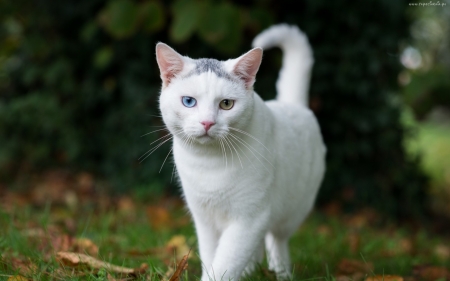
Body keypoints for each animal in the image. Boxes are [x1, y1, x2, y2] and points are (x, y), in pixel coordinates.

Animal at [156, 24, 326, 280]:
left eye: (226, 104)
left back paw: (281, 272)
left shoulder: (249, 219)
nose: (207, 122)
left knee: (277, 240)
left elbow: (225, 263)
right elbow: (211, 256)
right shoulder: (205, 220)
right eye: (188, 102)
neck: (209, 164)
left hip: (291, 211)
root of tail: (292, 104)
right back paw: (251, 271)